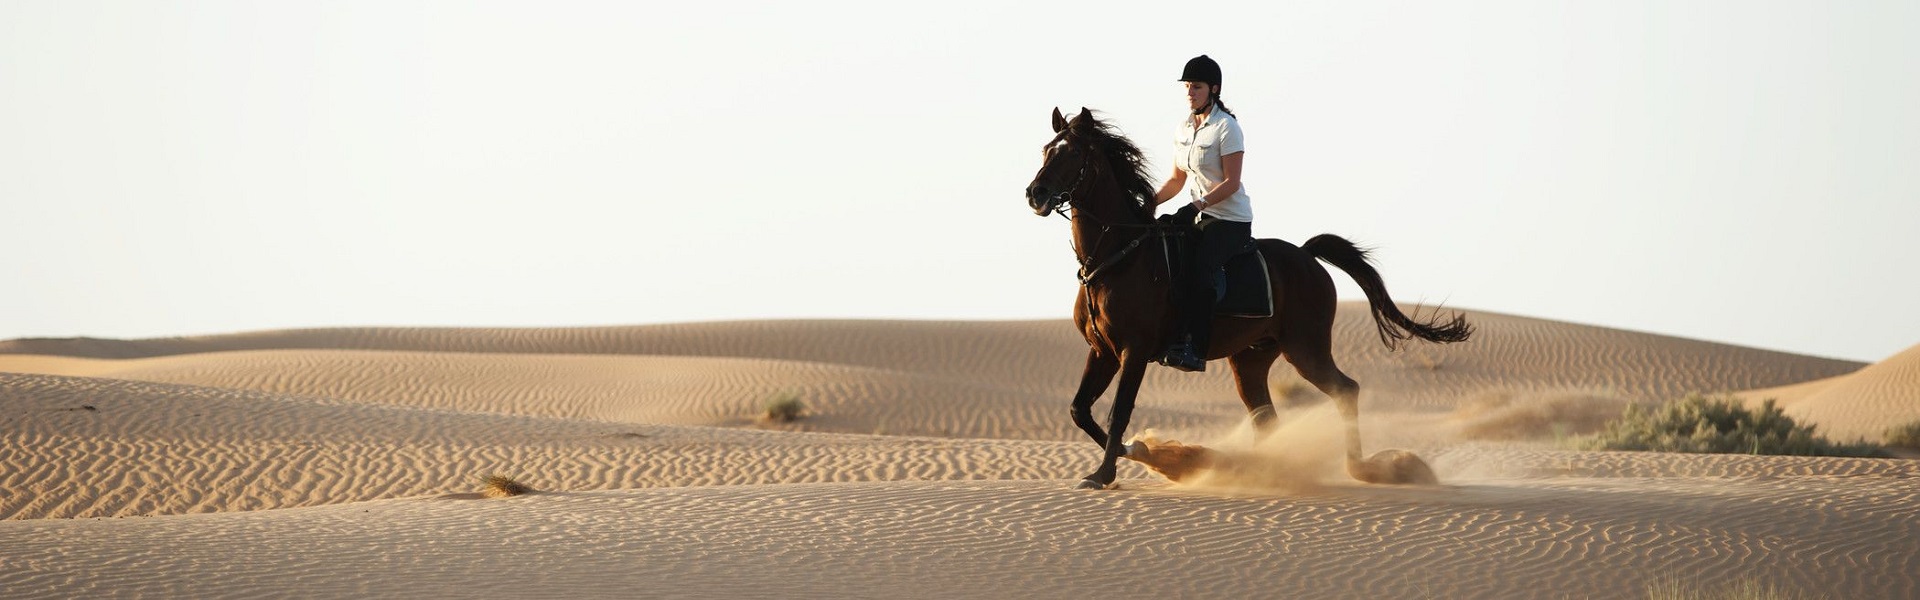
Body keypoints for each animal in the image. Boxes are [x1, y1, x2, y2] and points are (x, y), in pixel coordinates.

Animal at [1029, 107, 1474, 490]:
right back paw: (1263, 470)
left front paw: (1108, 471)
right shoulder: (1102, 351)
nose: (1036, 193)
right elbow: (1079, 410)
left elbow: (1119, 411)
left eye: (1072, 153)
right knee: (1266, 418)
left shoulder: (1133, 351)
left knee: (1346, 390)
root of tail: (1307, 256)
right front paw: (1138, 452)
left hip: (1305, 348)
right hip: (1251, 359)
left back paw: (1359, 469)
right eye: (1046, 149)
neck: (1119, 256)